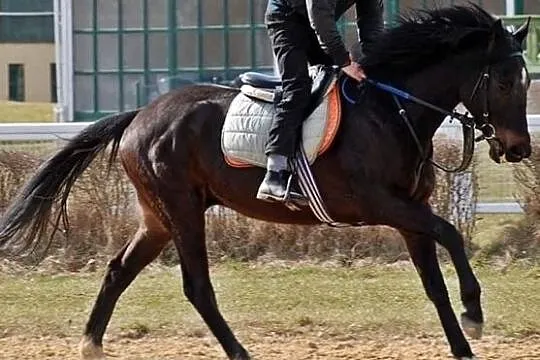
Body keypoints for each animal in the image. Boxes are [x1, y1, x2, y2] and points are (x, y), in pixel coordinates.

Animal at [0, 4, 532, 360]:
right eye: (505, 82)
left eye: (526, 82)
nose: (520, 149)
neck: (392, 110)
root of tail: (139, 115)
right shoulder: (380, 203)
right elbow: (451, 232)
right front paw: (475, 313)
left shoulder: (408, 214)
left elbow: (434, 283)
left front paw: (464, 342)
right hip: (182, 210)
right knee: (197, 287)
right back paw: (239, 353)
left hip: (158, 217)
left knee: (117, 270)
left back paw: (90, 344)